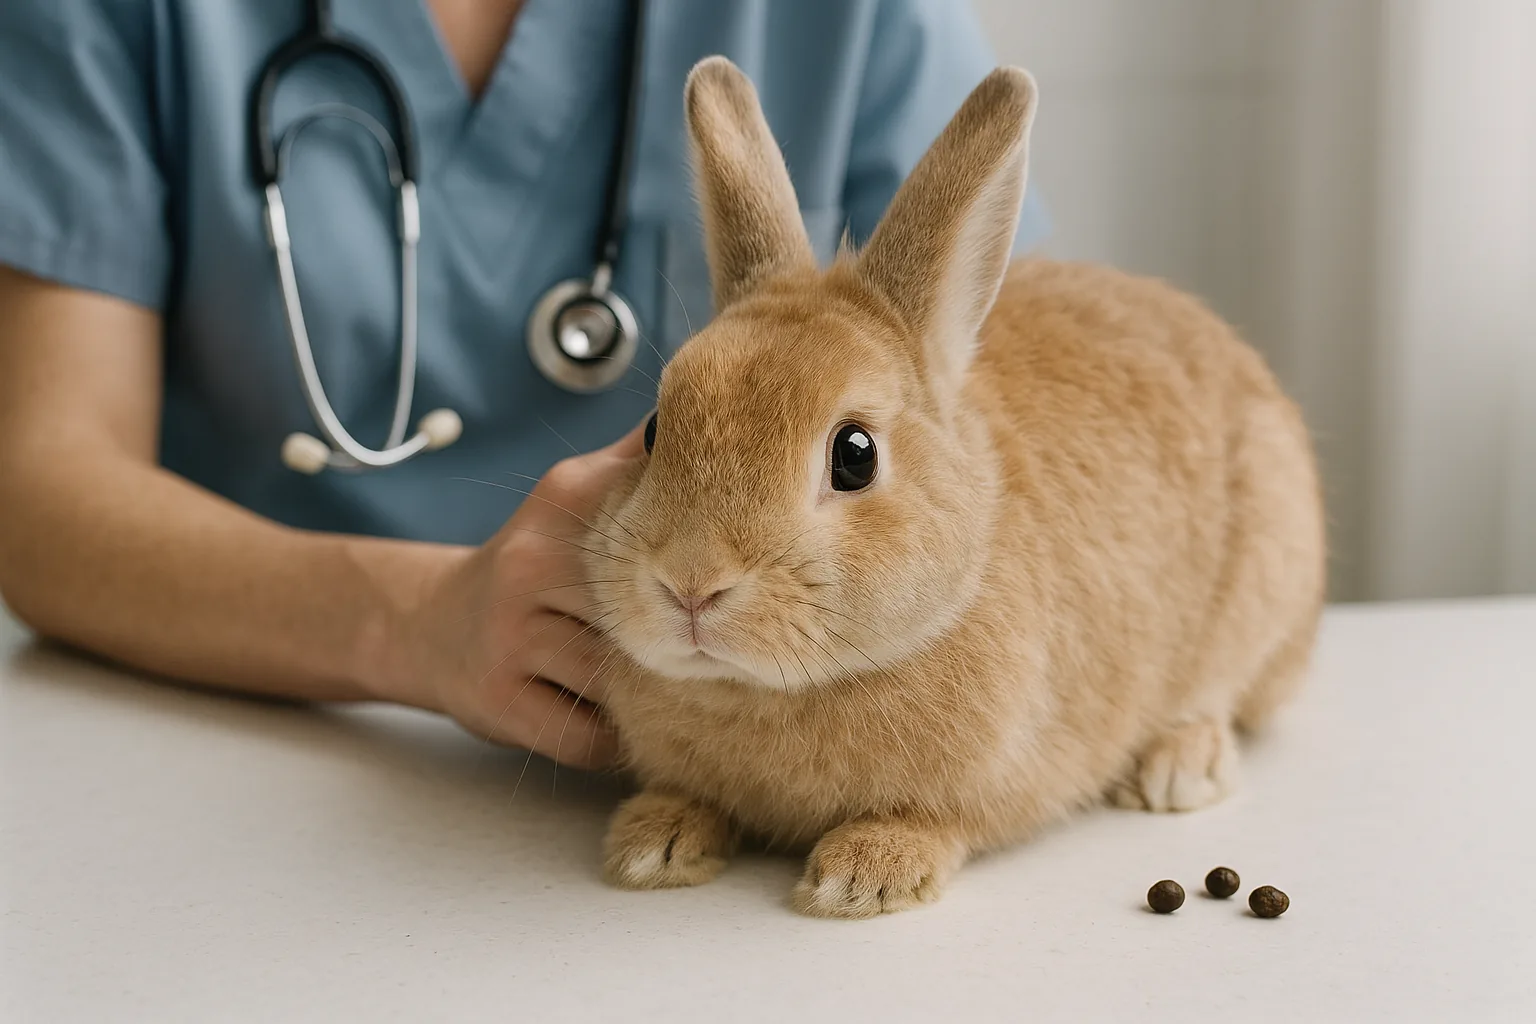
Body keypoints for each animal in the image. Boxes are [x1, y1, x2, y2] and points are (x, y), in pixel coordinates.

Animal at [581, 56, 1326, 919]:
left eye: (855, 455)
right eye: (653, 430)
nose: (691, 584)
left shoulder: (996, 778)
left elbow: (938, 820)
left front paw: (861, 877)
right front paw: (653, 845)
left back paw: (1178, 771)